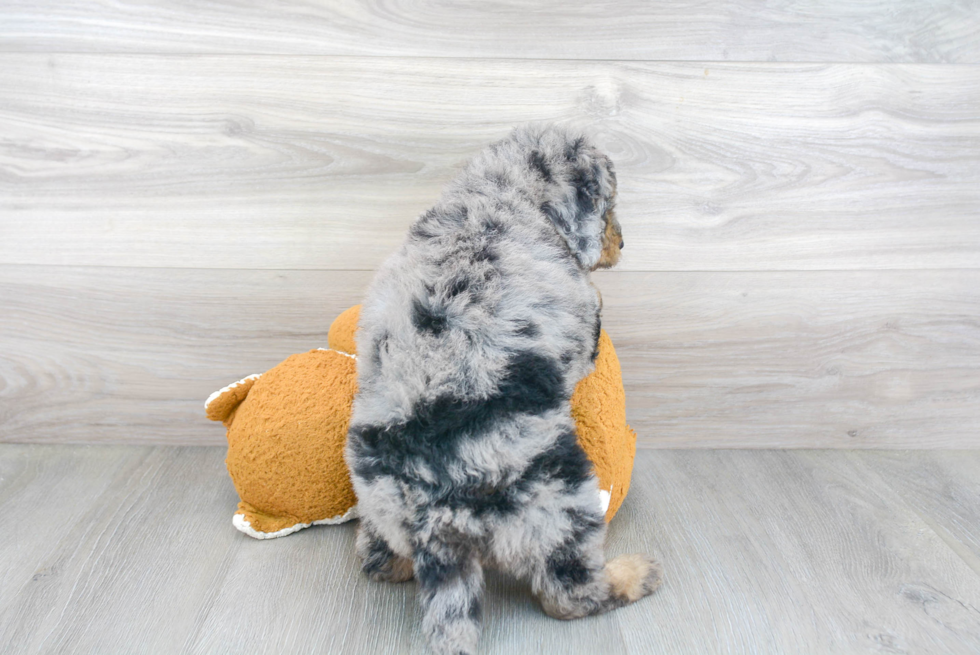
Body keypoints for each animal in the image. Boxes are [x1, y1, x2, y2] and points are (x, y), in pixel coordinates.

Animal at [348, 124, 664, 655]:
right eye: (609, 204)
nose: (624, 244)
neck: (501, 194)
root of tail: (435, 522)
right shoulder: (580, 329)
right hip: (560, 502)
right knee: (569, 594)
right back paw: (633, 574)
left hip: (379, 504)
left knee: (378, 561)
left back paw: (388, 560)